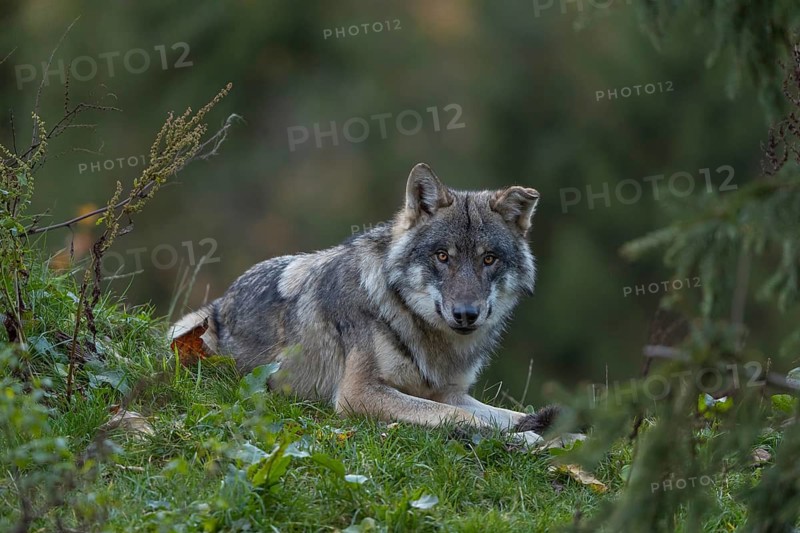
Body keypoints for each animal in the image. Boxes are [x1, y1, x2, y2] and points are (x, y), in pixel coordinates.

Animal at [171, 163, 559, 440]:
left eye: (488, 259)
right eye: (442, 256)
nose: (466, 314)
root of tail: (223, 301)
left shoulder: (448, 392)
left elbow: (506, 415)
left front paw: (549, 434)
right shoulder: (358, 394)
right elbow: (461, 417)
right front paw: (524, 440)